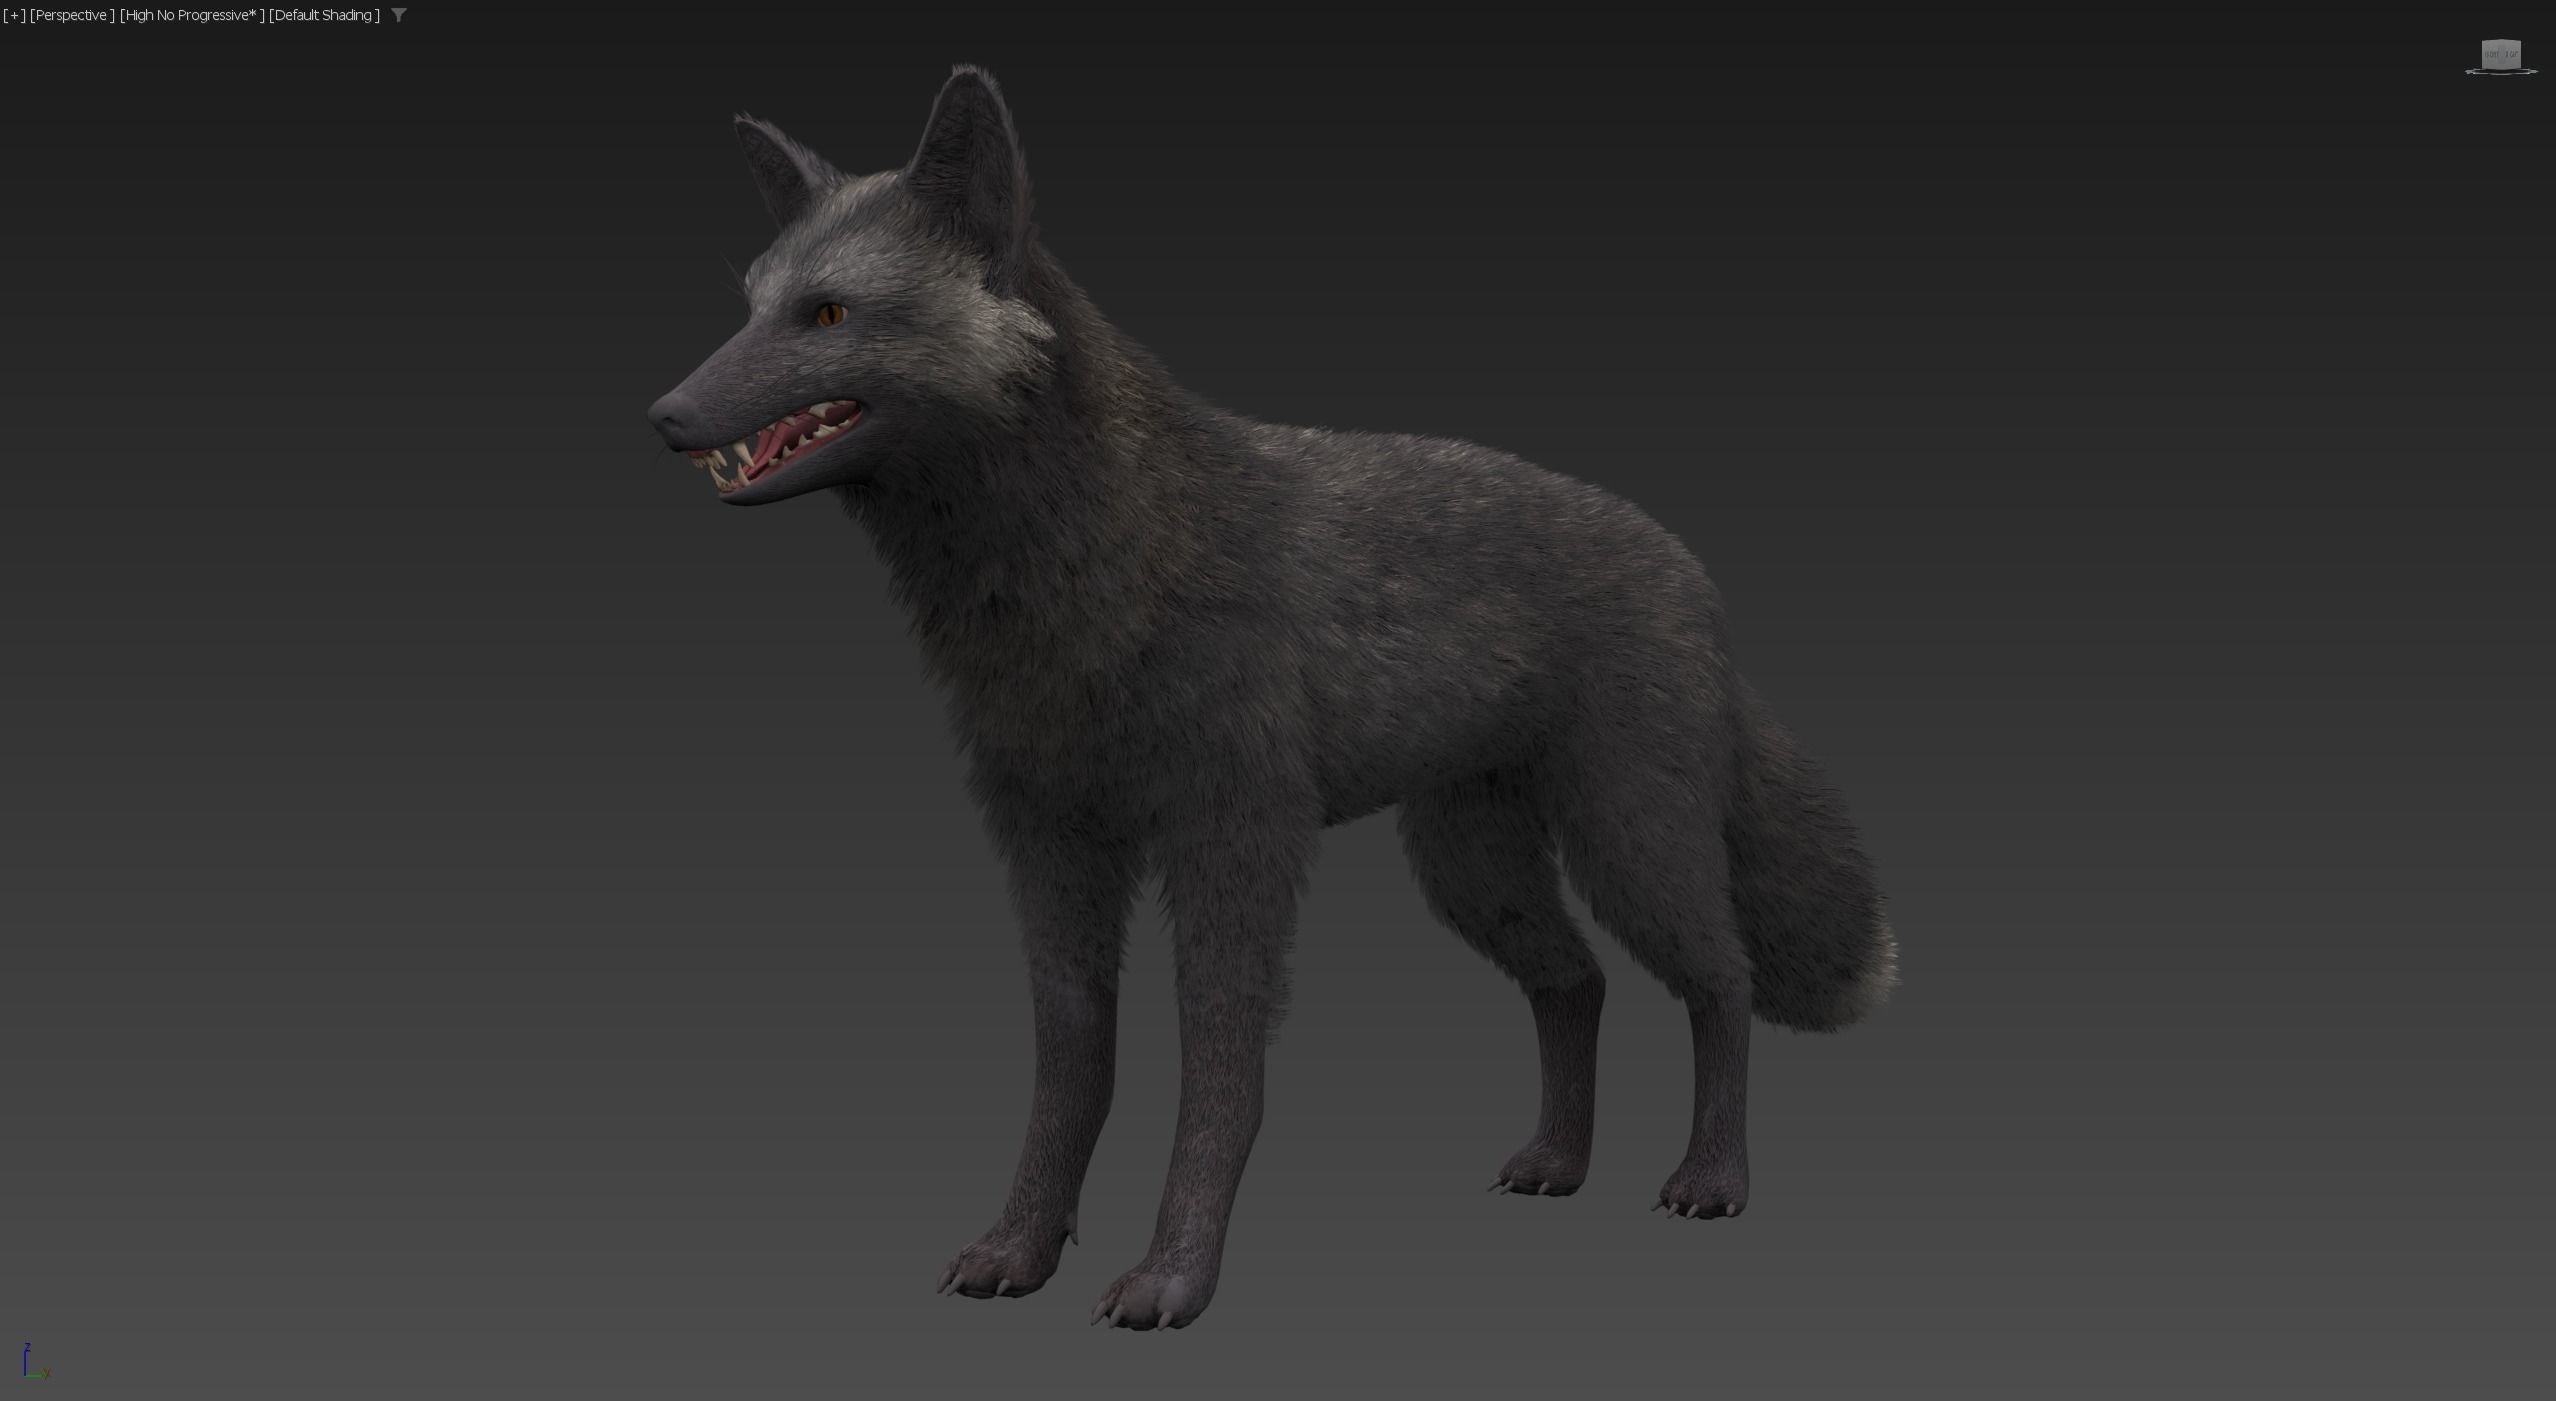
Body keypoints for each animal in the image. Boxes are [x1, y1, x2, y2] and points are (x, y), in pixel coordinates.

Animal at [646, 66, 1898, 1331]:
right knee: (1576, 981)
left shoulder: (1233, 838)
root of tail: (1693, 574)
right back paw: (1557, 1162)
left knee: (1722, 982)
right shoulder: (1051, 842)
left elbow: (1219, 1076)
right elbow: (1071, 1066)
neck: (1087, 579)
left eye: (828, 316)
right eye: (751, 305)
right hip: (1471, 870)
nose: (663, 416)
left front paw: (1173, 1277)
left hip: (1628, 845)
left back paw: (1712, 1180)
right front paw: (1021, 1248)